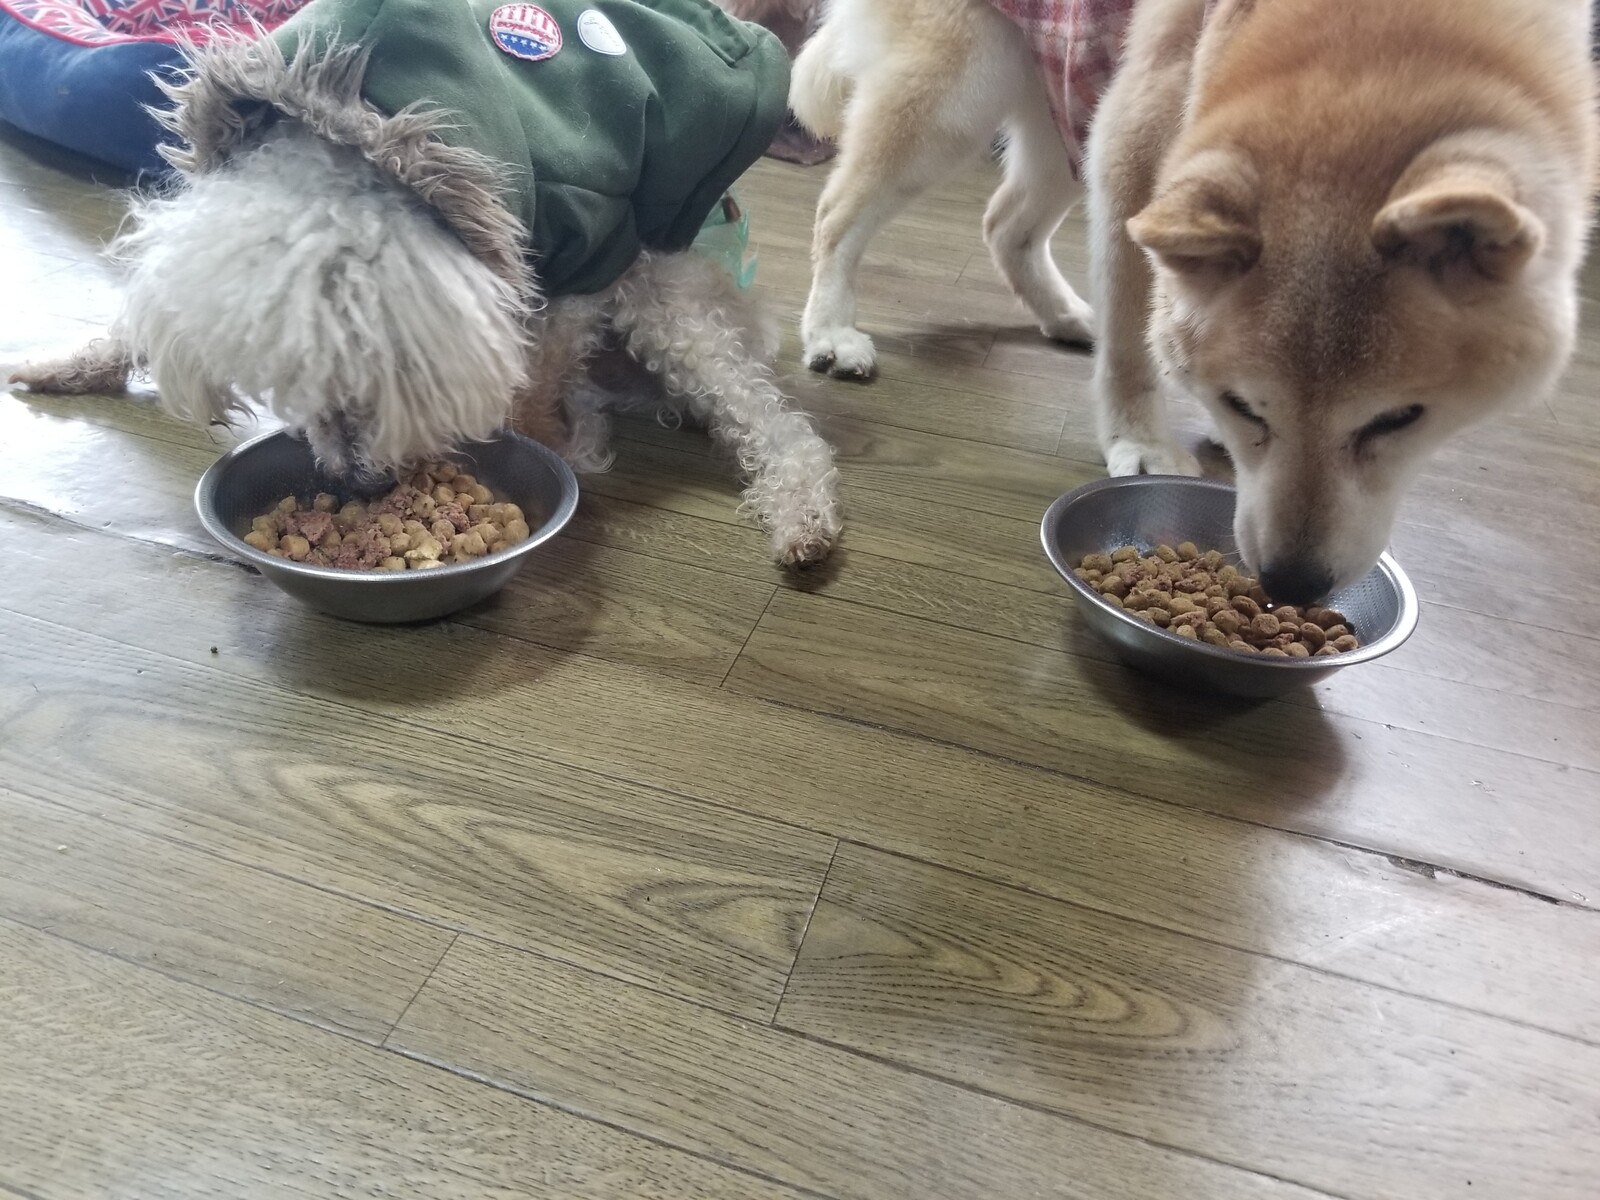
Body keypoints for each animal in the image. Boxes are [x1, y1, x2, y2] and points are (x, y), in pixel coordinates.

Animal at [11, 1, 842, 568]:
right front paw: (63, 365)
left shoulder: (589, 236)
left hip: (673, 297)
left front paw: (537, 440)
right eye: (299, 393)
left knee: (774, 424)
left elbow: (538, 367)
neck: (351, 126)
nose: (357, 485)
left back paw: (799, 516)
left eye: (373, 395)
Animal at [792, 0, 1596, 601]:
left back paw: (1065, 317)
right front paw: (1143, 444)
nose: (1292, 586)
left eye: (1400, 419)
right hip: (964, 91)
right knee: (836, 211)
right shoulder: (1136, 134)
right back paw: (832, 329)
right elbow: (1135, 333)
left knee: (1003, 224)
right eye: (1242, 406)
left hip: (1061, 105)